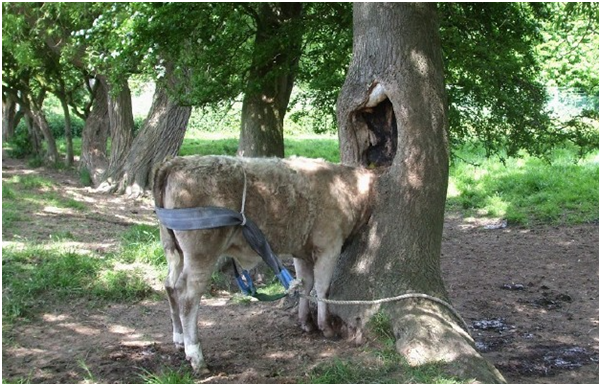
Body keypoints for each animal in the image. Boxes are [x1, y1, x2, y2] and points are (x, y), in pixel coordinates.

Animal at [151, 155, 376, 372]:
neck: (348, 187)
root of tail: (175, 163)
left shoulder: (301, 250)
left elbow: (305, 284)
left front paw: (306, 322)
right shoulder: (329, 245)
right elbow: (323, 288)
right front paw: (326, 326)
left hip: (173, 250)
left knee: (170, 285)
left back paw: (179, 339)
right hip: (201, 253)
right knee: (188, 296)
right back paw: (196, 356)